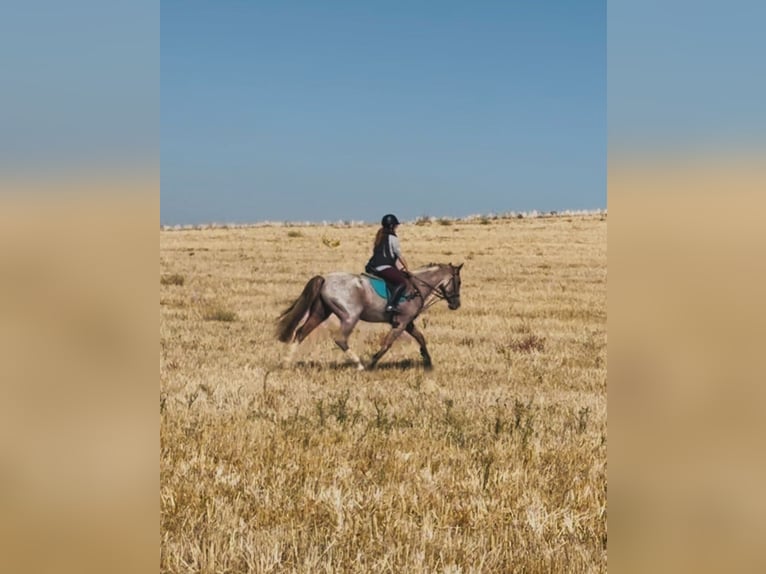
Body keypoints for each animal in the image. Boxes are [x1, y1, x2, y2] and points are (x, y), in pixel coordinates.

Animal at [276, 263, 463, 370]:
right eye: (458, 282)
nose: (456, 305)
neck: (417, 286)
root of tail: (325, 279)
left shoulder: (407, 323)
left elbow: (421, 338)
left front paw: (428, 361)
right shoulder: (402, 323)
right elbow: (387, 344)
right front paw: (372, 363)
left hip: (320, 312)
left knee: (300, 333)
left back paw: (285, 363)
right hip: (350, 316)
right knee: (340, 339)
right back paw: (360, 365)